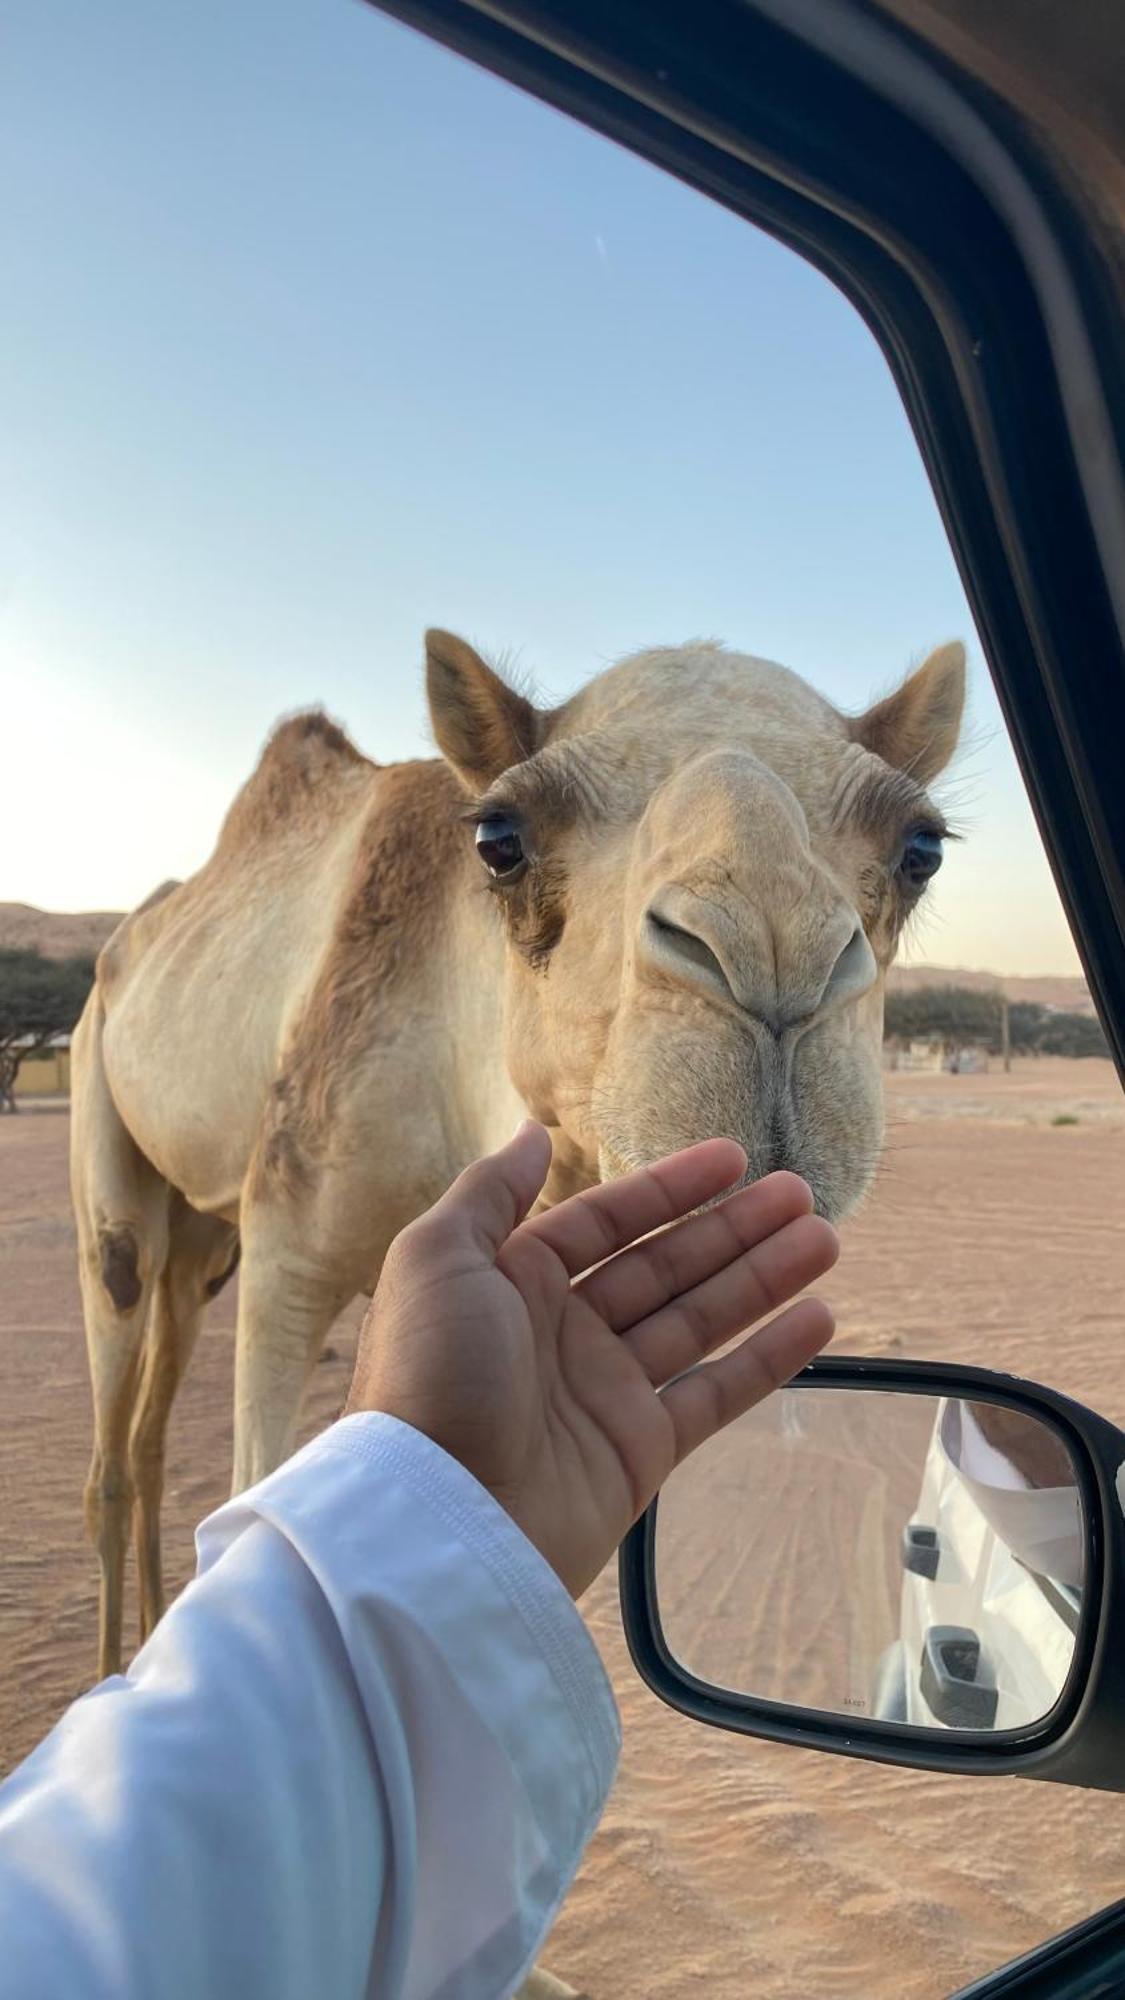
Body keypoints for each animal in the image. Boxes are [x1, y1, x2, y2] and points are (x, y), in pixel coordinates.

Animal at [74, 628, 960, 1688]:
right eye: (500, 840)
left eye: (918, 851)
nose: (775, 962)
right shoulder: (286, 1248)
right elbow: (250, 1484)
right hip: (104, 1106)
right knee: (116, 1384)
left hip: (203, 1242)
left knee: (152, 1415)